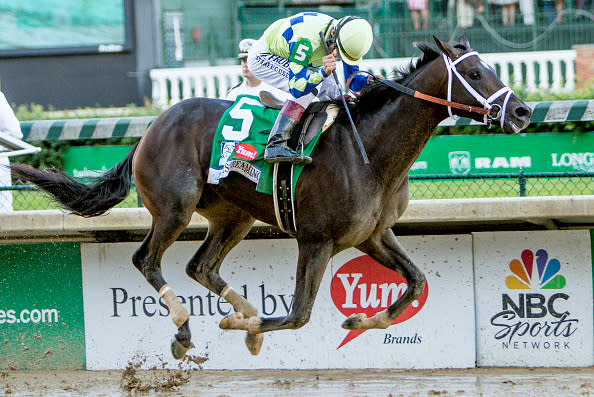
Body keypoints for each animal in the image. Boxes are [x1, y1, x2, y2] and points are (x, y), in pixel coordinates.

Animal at [9, 36, 528, 358]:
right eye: (475, 73)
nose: (522, 112)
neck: (369, 152)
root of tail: (151, 127)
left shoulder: (373, 235)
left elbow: (416, 283)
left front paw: (360, 321)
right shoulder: (316, 240)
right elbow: (298, 315)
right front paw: (244, 330)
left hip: (233, 216)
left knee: (200, 266)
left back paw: (242, 312)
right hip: (175, 208)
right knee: (146, 260)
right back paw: (188, 326)